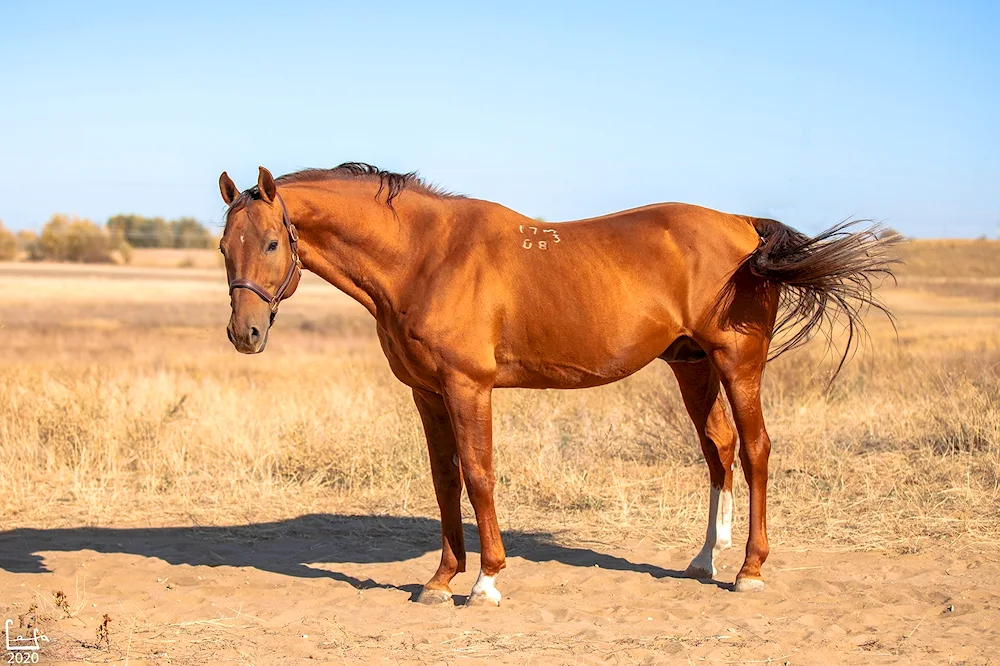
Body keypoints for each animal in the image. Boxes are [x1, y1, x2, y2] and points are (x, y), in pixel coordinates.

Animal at [215, 163, 896, 604]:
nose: (244, 333)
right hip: (694, 366)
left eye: (272, 242)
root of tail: (744, 226)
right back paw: (705, 558)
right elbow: (444, 480)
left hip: (738, 364)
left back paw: (749, 570)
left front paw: (486, 581)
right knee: (719, 451)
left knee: (755, 451)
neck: (426, 255)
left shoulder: (468, 389)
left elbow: (478, 474)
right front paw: (440, 579)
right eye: (225, 246)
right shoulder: (427, 394)